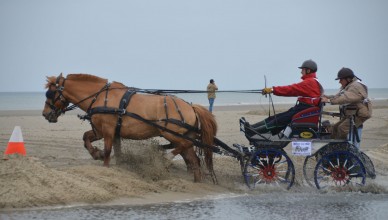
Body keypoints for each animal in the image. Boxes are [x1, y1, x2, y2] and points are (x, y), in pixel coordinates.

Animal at [43, 73, 218, 181]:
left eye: (50, 93)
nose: (45, 114)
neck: (101, 97)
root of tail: (190, 106)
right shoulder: (102, 131)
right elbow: (87, 138)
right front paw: (97, 154)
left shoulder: (107, 130)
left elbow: (108, 150)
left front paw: (104, 164)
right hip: (183, 134)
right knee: (193, 159)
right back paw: (196, 182)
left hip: (172, 134)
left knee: (185, 147)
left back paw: (167, 158)